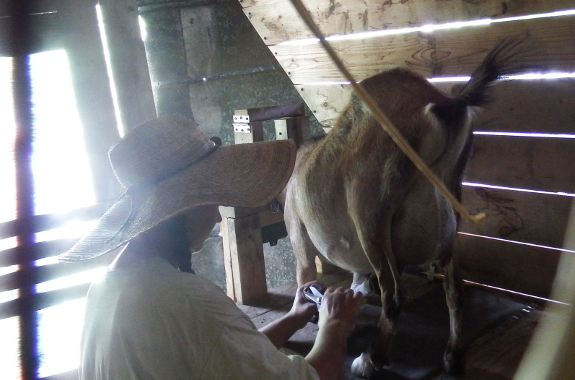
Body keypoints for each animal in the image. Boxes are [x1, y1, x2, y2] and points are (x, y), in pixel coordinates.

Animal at [282, 38, 528, 378]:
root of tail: (443, 105)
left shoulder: (298, 231)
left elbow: (306, 273)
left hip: (369, 212)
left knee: (395, 294)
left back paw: (369, 359)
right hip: (450, 208)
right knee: (455, 289)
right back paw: (452, 356)